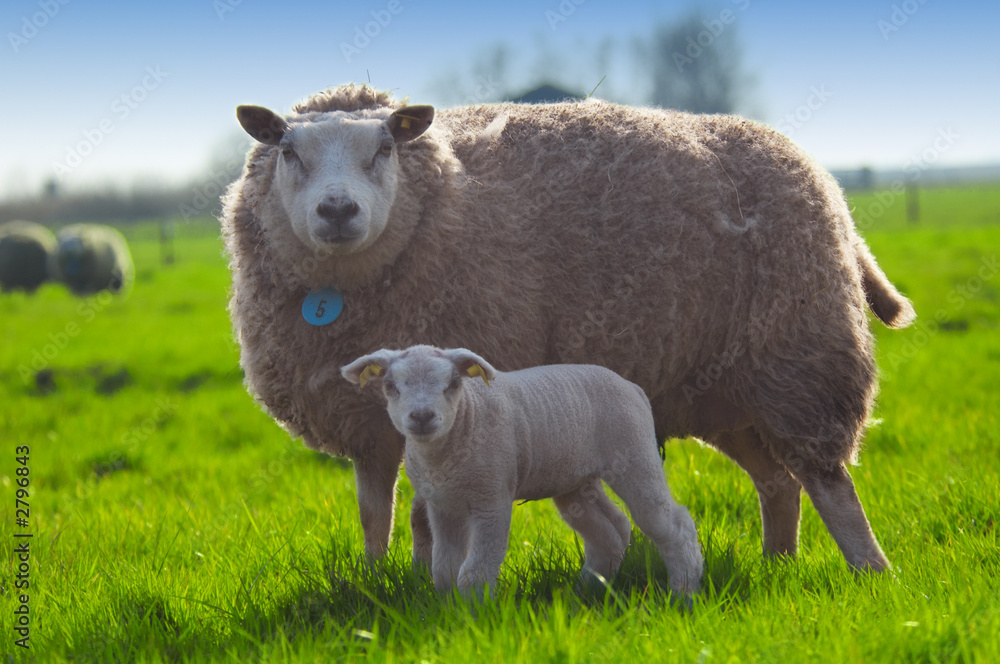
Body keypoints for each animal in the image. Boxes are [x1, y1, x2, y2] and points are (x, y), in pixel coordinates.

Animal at [225, 81, 916, 572]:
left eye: (384, 149)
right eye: (288, 150)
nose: (338, 210)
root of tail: (821, 177)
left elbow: (423, 520)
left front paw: (424, 583)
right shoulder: (367, 423)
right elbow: (375, 516)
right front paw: (378, 583)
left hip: (800, 356)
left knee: (828, 482)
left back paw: (870, 572)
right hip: (728, 391)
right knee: (777, 482)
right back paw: (778, 563)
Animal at [344, 344, 704, 600]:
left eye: (453, 383)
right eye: (390, 386)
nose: (421, 416)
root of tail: (633, 387)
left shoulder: (491, 498)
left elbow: (475, 570)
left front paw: (473, 614)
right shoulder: (443, 506)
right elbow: (444, 567)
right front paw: (448, 609)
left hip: (635, 455)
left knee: (674, 525)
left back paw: (684, 593)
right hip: (575, 479)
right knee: (611, 530)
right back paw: (585, 592)